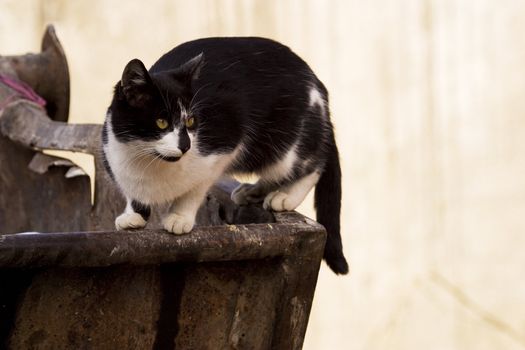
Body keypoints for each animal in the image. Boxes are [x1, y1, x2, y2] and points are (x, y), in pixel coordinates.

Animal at [102, 37, 348, 274]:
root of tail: (318, 85)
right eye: (161, 122)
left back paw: (285, 195)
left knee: (313, 164)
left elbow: (196, 189)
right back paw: (252, 191)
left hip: (285, 144)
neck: (149, 160)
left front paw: (180, 217)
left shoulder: (225, 147)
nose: (186, 145)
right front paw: (133, 214)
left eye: (191, 121)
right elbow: (133, 193)